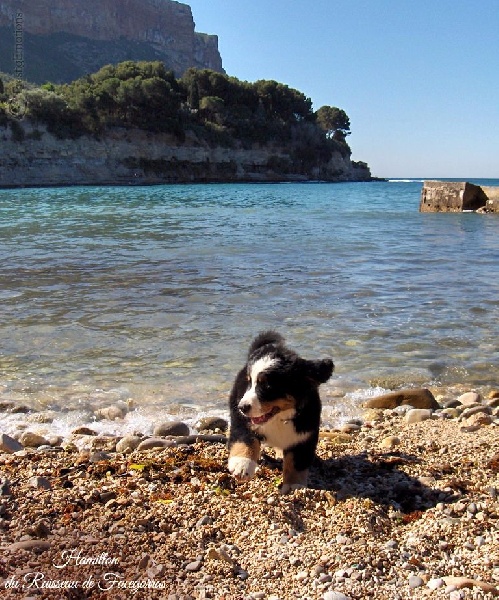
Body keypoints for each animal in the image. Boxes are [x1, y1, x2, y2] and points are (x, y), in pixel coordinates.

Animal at [229, 332, 334, 492]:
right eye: (249, 382)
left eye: (267, 386)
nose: (242, 407)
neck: (279, 418)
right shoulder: (243, 422)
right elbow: (246, 440)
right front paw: (242, 465)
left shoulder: (303, 436)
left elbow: (296, 463)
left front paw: (294, 485)